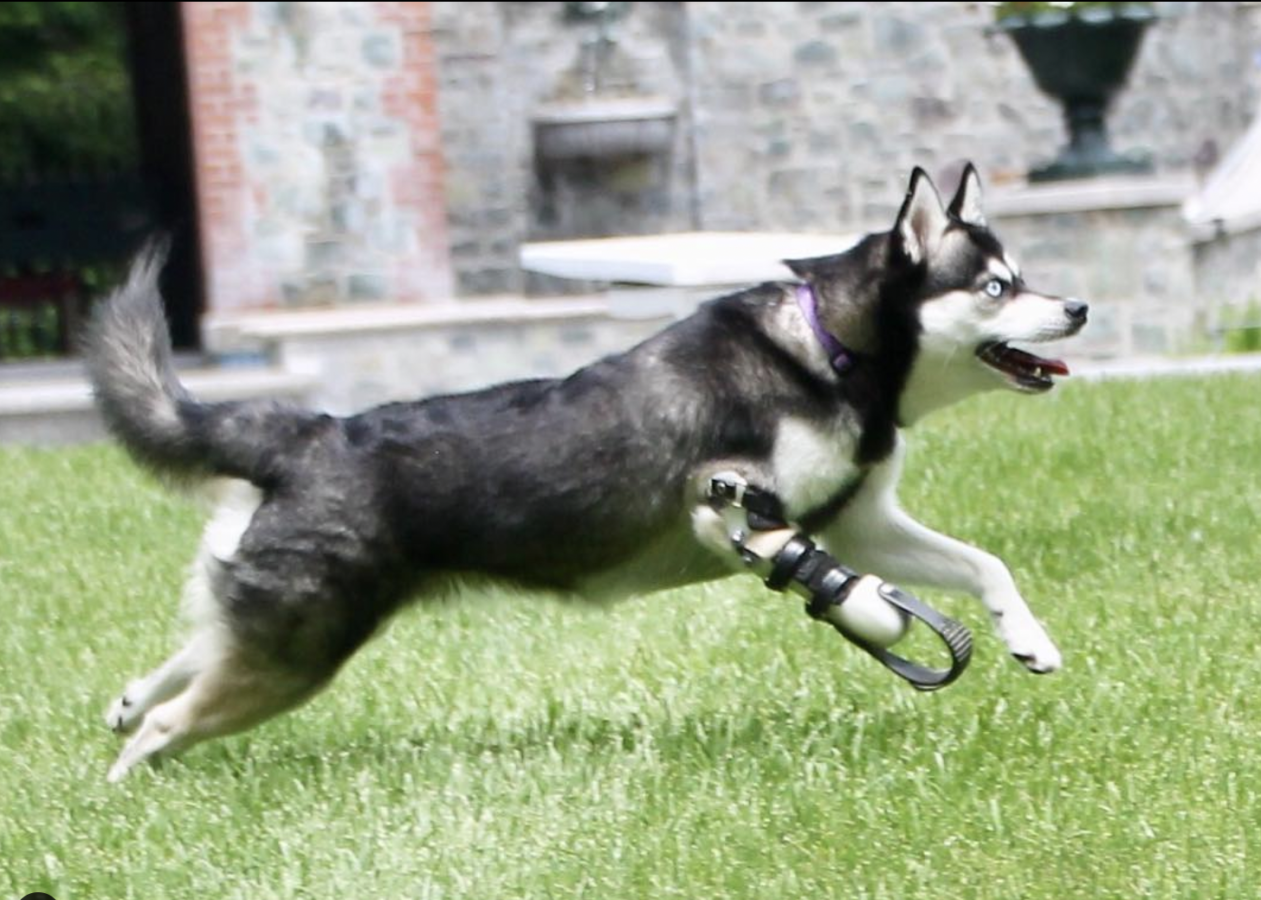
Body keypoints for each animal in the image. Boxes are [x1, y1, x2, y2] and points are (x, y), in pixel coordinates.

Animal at [88, 162, 1084, 776]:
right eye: (995, 288)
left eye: (1025, 275)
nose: (1076, 306)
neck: (832, 350)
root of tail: (304, 434)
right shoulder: (731, 509)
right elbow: (834, 581)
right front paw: (873, 613)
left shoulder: (857, 519)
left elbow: (983, 564)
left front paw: (1028, 639)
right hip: (301, 650)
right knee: (179, 720)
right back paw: (128, 784)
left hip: (277, 629)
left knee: (193, 655)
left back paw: (132, 704)